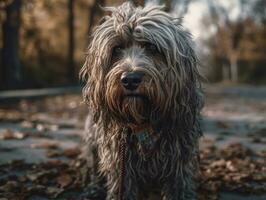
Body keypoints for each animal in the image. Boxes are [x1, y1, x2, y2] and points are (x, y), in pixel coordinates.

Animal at [80, 1, 203, 200]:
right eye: (117, 49)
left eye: (152, 48)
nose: (130, 79)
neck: (143, 122)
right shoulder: (120, 165)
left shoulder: (178, 164)